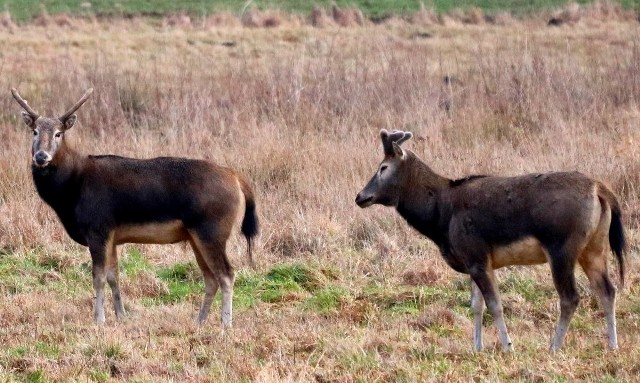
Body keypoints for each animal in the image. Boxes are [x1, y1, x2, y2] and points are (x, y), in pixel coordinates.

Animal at [11, 88, 258, 328]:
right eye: (34, 131)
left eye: (58, 133)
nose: (41, 156)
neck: (71, 190)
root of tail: (237, 180)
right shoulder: (112, 235)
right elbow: (114, 276)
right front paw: (121, 316)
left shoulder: (98, 227)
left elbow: (98, 277)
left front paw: (99, 320)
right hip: (196, 233)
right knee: (210, 277)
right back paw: (199, 321)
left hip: (211, 228)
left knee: (226, 274)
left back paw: (225, 325)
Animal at [358, 130, 628, 352]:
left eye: (383, 167)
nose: (360, 196)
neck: (441, 217)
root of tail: (600, 190)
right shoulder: (473, 260)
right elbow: (476, 305)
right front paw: (477, 347)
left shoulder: (476, 254)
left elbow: (495, 304)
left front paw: (508, 347)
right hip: (594, 246)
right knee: (607, 289)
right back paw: (612, 345)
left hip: (561, 245)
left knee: (570, 297)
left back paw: (554, 346)